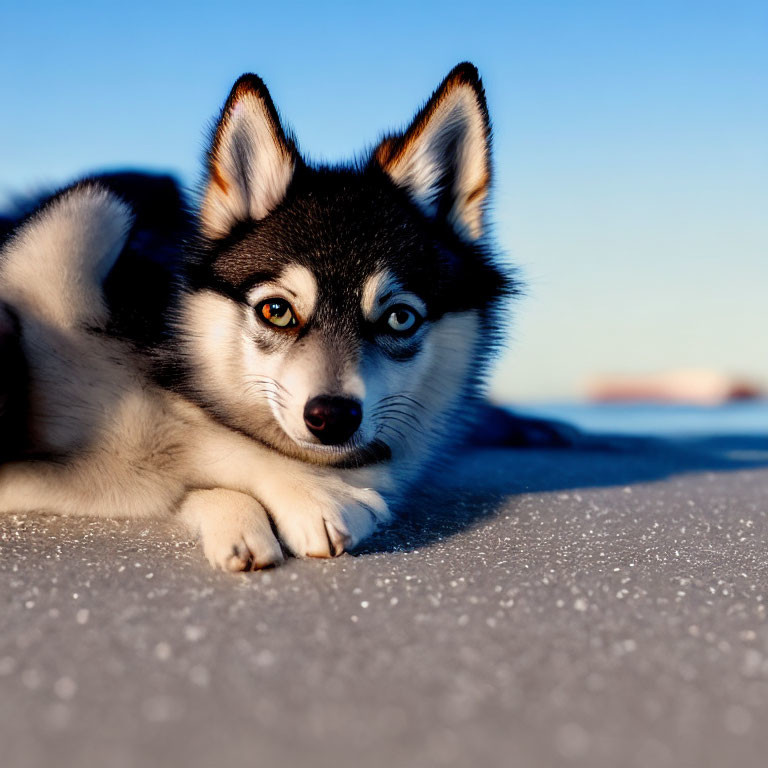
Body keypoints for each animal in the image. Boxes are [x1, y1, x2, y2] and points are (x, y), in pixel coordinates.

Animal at [1, 63, 516, 568]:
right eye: (277, 311)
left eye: (399, 319)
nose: (333, 417)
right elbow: (185, 438)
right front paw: (310, 492)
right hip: (99, 206)